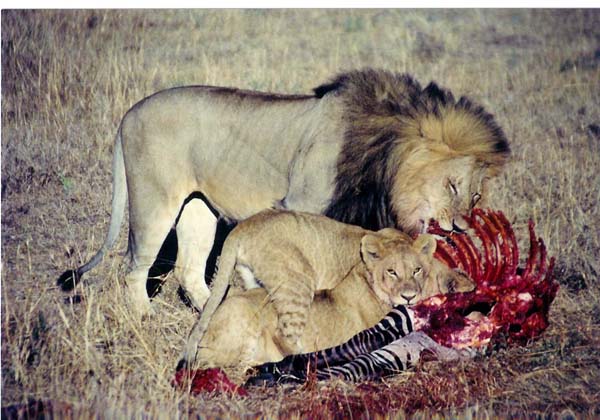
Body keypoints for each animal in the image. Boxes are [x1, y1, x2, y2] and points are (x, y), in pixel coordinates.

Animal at [57, 69, 506, 314]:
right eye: (451, 185)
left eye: (476, 197)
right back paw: (146, 318)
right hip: (154, 204)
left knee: (189, 270)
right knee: (134, 268)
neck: (381, 161)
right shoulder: (303, 204)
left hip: (198, 208)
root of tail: (128, 114)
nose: (461, 227)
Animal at [178, 217, 474, 370]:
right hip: (293, 282)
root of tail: (240, 229)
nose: (409, 296)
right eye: (391, 272)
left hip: (253, 279)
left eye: (416, 270)